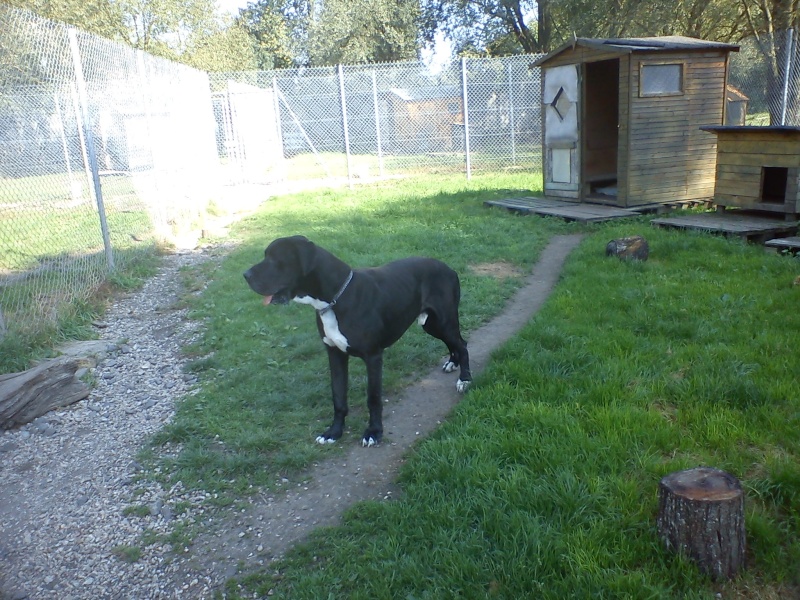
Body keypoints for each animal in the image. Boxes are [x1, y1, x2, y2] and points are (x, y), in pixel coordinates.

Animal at [244, 237, 468, 448]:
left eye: (275, 259)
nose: (245, 275)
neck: (334, 300)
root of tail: (448, 268)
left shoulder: (373, 357)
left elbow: (373, 398)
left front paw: (373, 432)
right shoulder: (335, 354)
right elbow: (338, 396)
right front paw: (333, 432)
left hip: (443, 321)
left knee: (462, 344)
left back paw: (465, 379)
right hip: (432, 324)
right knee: (454, 344)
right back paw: (452, 363)